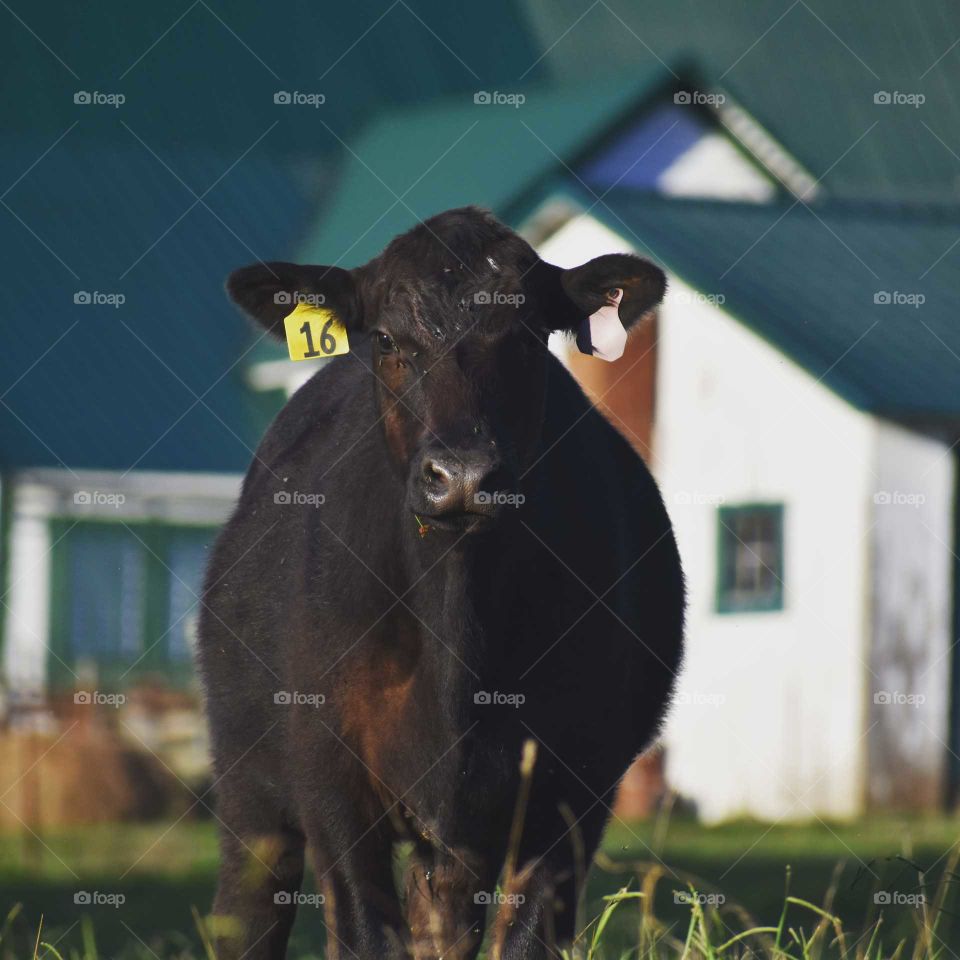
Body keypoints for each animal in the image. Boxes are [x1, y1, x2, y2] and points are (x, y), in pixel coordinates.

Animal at [197, 206, 685, 960]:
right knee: (247, 913)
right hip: (250, 789)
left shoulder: (574, 788)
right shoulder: (331, 779)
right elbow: (366, 934)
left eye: (527, 336)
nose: (462, 477)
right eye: (387, 339)